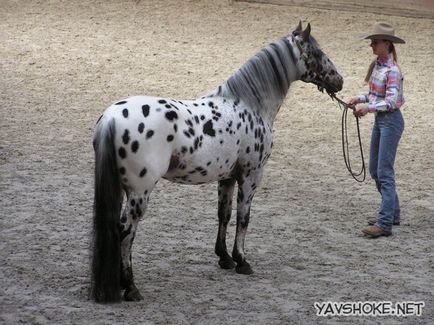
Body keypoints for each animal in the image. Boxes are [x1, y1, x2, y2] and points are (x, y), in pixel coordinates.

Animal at [90, 22, 342, 302]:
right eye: (317, 53)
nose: (339, 81)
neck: (249, 105)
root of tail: (111, 118)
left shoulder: (227, 177)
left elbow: (224, 214)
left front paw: (224, 258)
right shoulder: (251, 175)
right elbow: (244, 217)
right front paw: (242, 261)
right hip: (139, 193)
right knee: (126, 233)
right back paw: (131, 287)